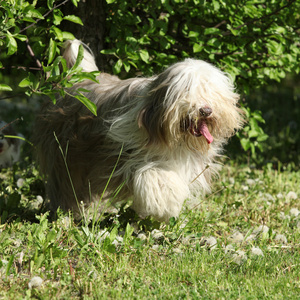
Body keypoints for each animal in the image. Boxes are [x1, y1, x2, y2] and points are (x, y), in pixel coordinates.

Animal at [33, 39, 244, 221]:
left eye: (212, 92)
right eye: (187, 91)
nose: (206, 110)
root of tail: (73, 79)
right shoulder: (126, 157)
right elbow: (154, 176)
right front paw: (165, 205)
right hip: (64, 153)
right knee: (67, 185)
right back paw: (69, 212)